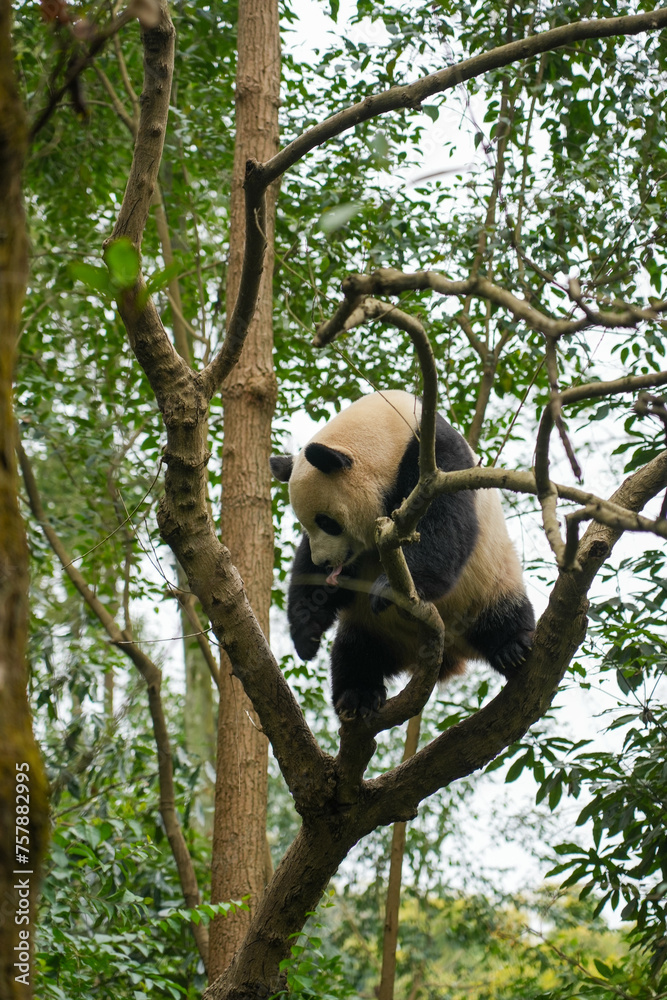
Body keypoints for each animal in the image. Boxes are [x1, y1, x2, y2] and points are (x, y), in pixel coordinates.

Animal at [270, 390, 535, 720]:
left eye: (327, 522)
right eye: (307, 524)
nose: (327, 563)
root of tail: (449, 655)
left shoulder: (437, 464)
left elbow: (444, 525)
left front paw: (388, 589)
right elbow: (307, 569)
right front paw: (306, 635)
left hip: (489, 582)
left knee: (503, 614)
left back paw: (512, 647)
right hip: (369, 626)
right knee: (356, 652)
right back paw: (357, 694)